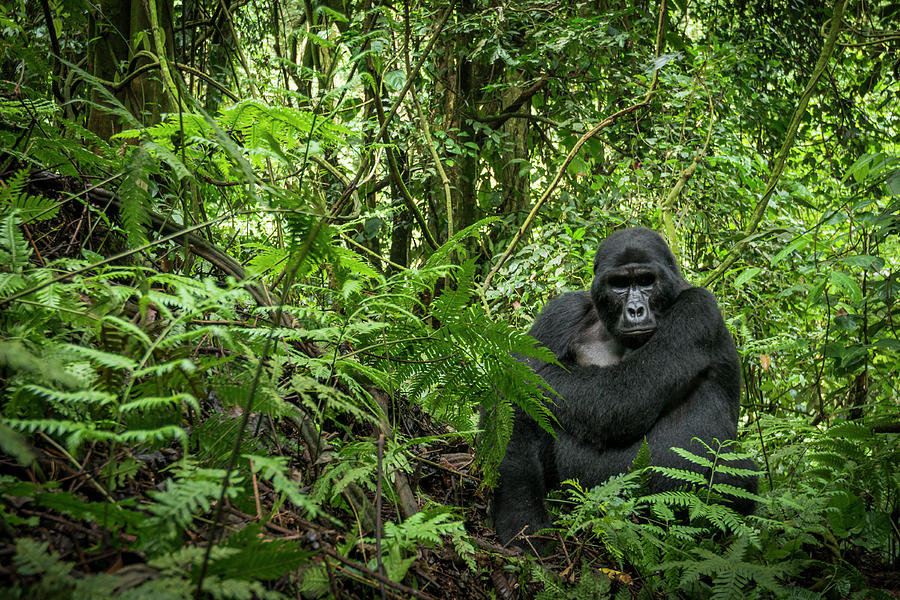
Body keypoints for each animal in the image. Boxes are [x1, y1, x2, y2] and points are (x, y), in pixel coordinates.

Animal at [496, 227, 756, 552]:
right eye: (619, 284)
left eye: (646, 281)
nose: (635, 310)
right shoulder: (562, 311)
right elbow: (514, 400)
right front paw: (519, 513)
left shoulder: (698, 309)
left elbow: (621, 397)